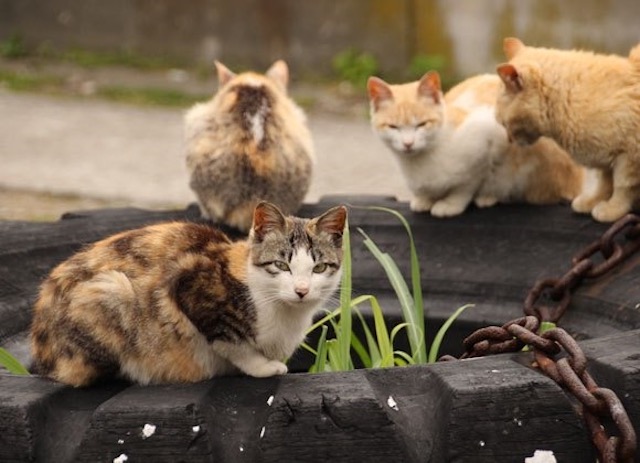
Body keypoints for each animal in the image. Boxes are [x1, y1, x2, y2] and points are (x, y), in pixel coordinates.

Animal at [31, 203, 348, 388]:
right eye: (281, 265)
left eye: (319, 267)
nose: (301, 290)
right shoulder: (188, 282)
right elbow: (230, 342)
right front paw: (264, 367)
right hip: (110, 289)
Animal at [368, 72, 584, 218]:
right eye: (393, 127)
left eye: (422, 124)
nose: (408, 143)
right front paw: (424, 199)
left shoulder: (490, 137)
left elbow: (467, 183)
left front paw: (450, 204)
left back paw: (489, 197)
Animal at [496, 38, 640, 223]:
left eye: (504, 123)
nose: (510, 140)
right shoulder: (607, 157)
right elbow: (605, 181)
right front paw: (594, 201)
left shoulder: (630, 157)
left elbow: (623, 185)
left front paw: (613, 208)